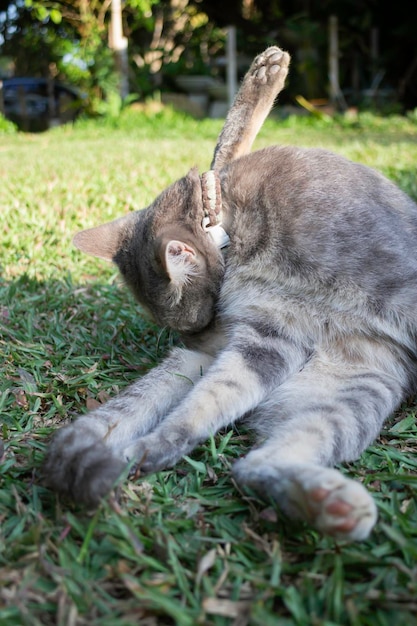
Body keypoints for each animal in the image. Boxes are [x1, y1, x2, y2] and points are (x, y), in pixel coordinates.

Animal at [44, 46, 416, 540]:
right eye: (197, 321)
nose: (200, 337)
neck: (236, 233)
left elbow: (225, 143)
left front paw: (265, 73)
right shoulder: (269, 336)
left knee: (246, 454)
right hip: (329, 384)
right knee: (235, 452)